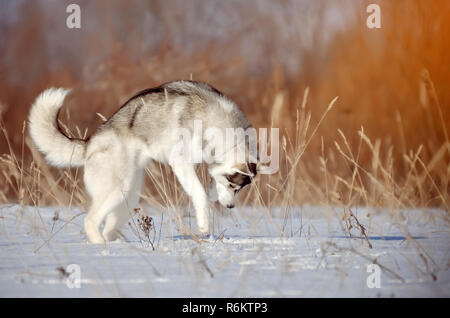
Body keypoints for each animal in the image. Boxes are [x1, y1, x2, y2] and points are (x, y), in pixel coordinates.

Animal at [29, 80, 260, 243]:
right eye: (233, 186)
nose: (230, 206)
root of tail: (90, 143)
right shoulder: (180, 162)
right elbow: (199, 194)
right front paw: (204, 225)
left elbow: (211, 179)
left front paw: (213, 192)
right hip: (116, 189)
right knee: (90, 221)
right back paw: (101, 247)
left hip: (129, 196)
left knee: (109, 226)